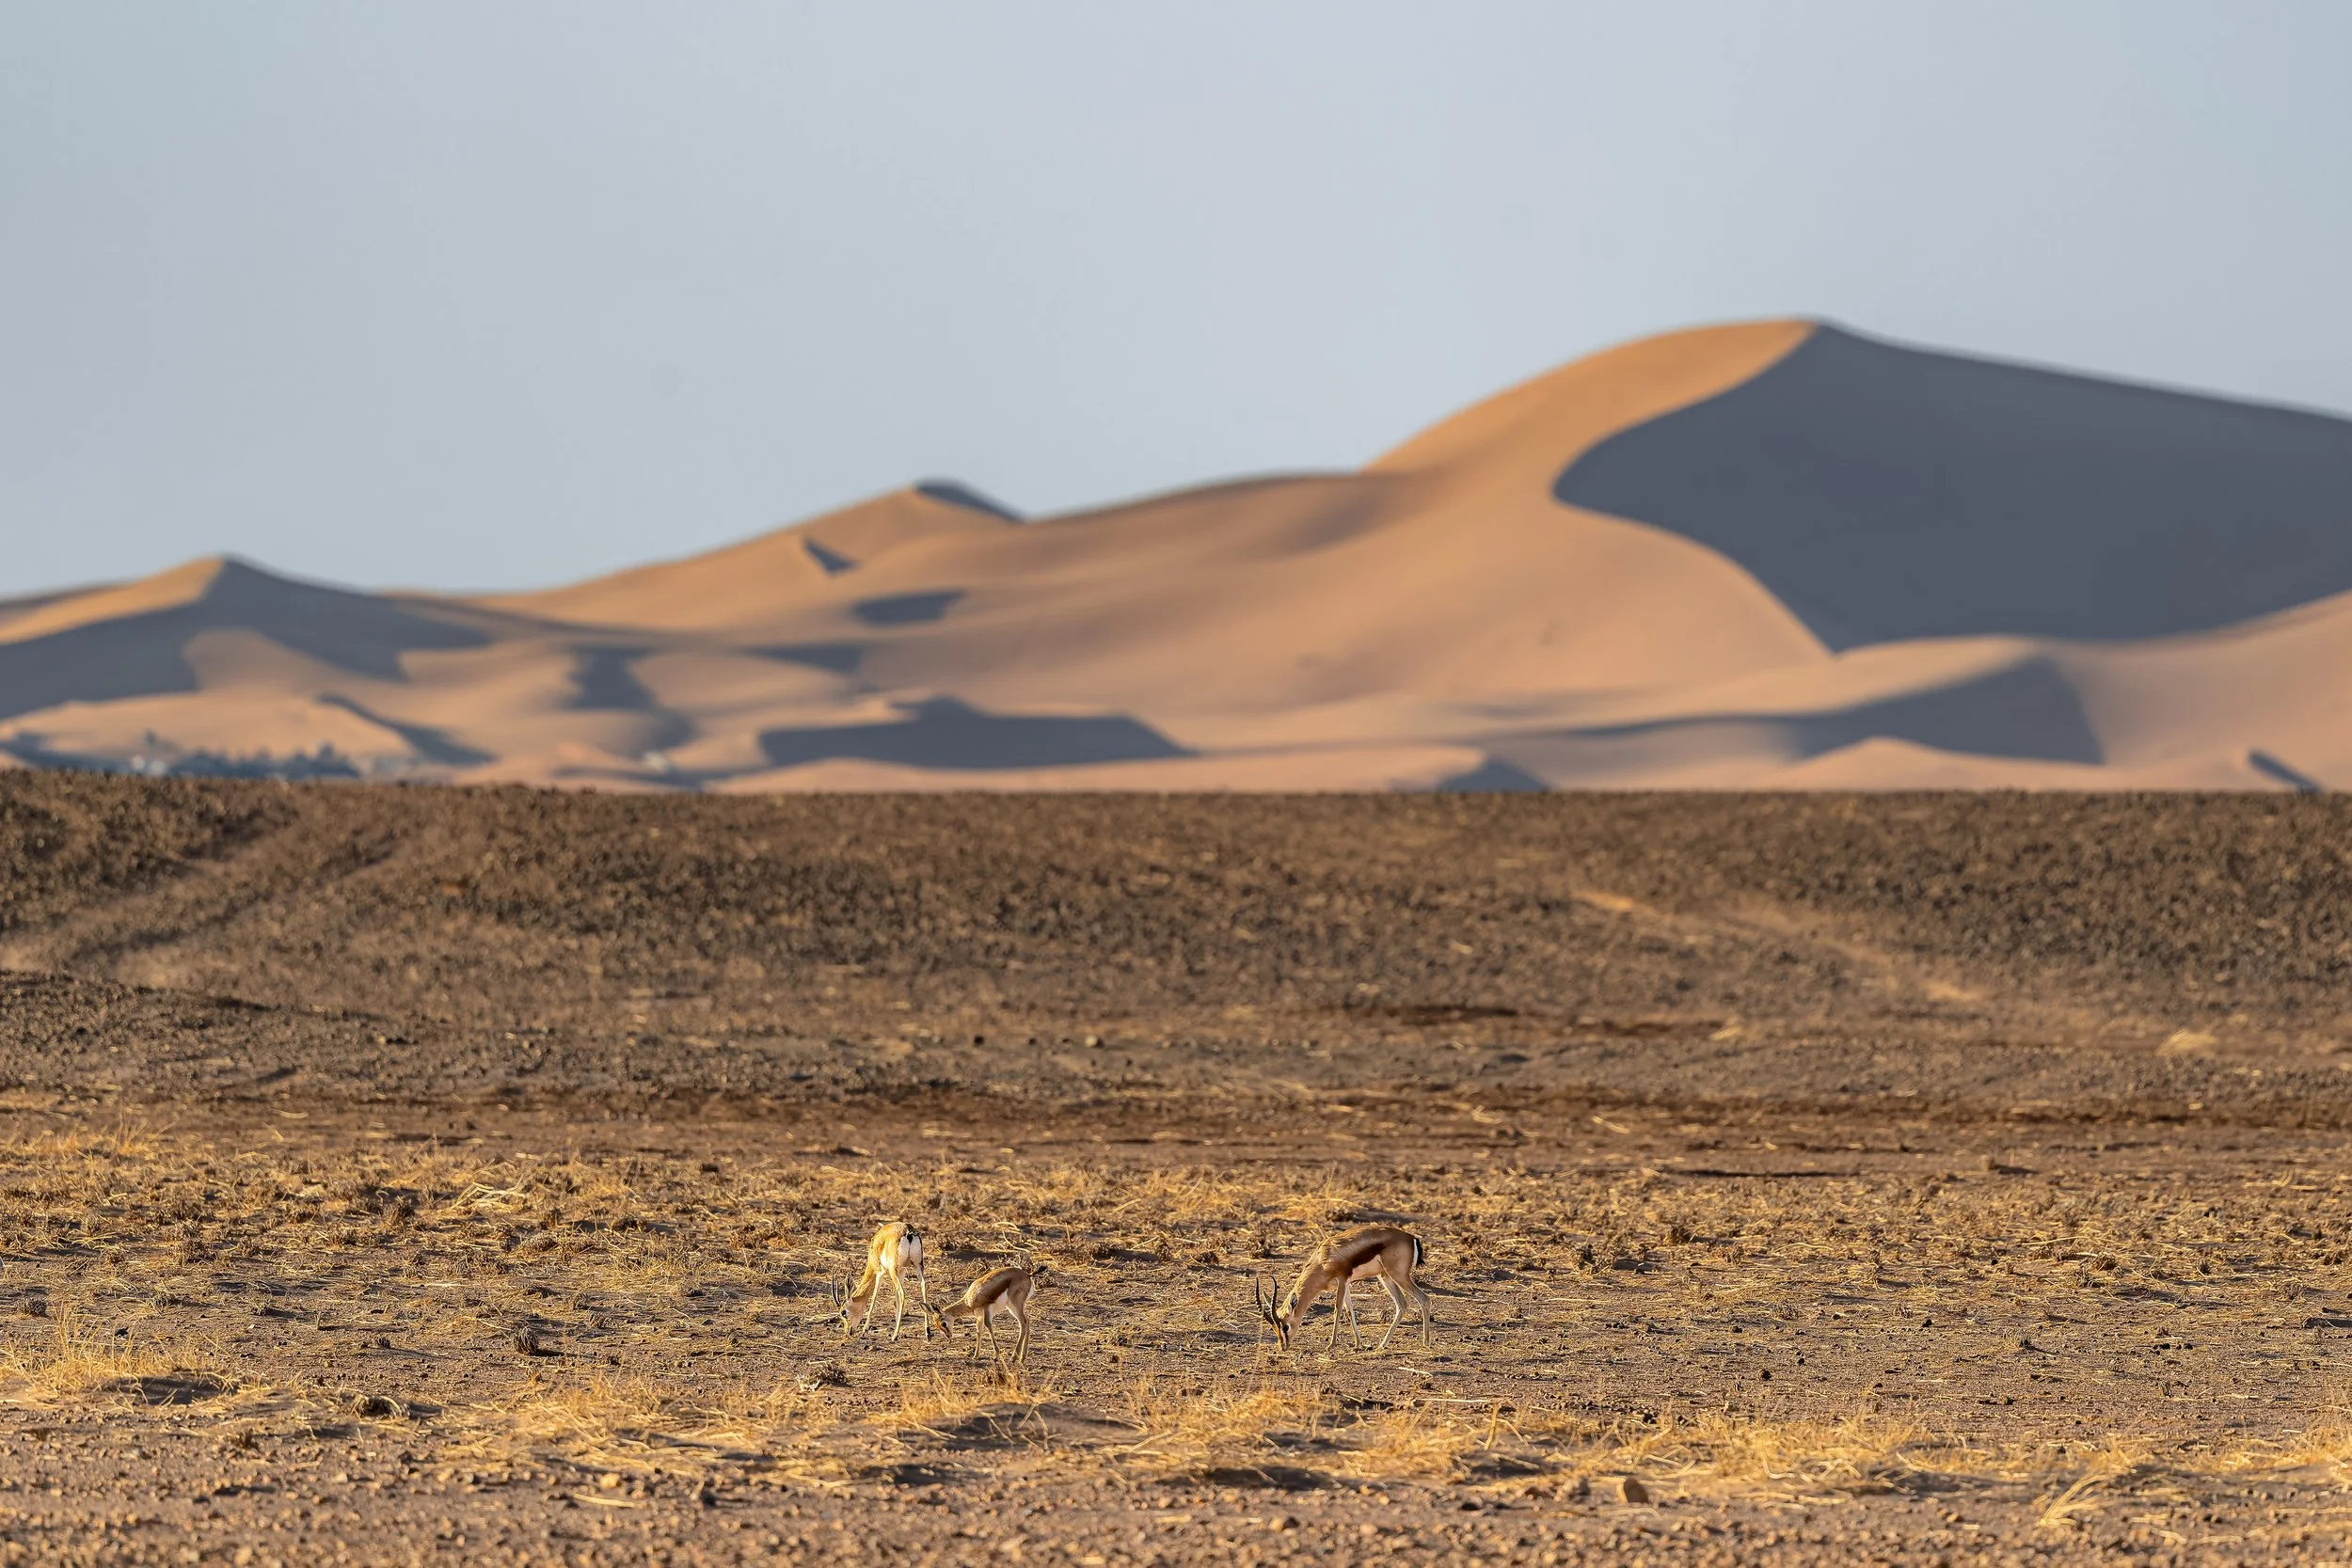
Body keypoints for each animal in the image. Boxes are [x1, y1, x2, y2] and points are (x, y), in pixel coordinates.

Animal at [927, 1262, 1047, 1365]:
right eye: (937, 1326)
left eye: (943, 1324)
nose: (948, 1336)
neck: (968, 1302)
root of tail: (1027, 1275)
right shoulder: (979, 1316)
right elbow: (979, 1331)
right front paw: (975, 1356)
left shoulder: (986, 1309)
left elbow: (988, 1327)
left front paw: (996, 1356)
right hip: (1015, 1307)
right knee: (1028, 1320)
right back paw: (1022, 1358)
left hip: (1014, 1305)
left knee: (1023, 1322)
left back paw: (1014, 1358)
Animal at [1251, 1225, 1430, 1354]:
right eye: (1274, 1328)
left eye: (1286, 1327)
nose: (1283, 1346)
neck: (1322, 1260)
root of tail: (1411, 1238)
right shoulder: (1346, 1284)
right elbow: (1349, 1310)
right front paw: (1358, 1344)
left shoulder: (1342, 1280)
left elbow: (1338, 1310)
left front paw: (1331, 1345)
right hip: (1385, 1276)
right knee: (1402, 1304)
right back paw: (1382, 1345)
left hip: (1398, 1275)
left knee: (1424, 1299)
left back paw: (1426, 1343)